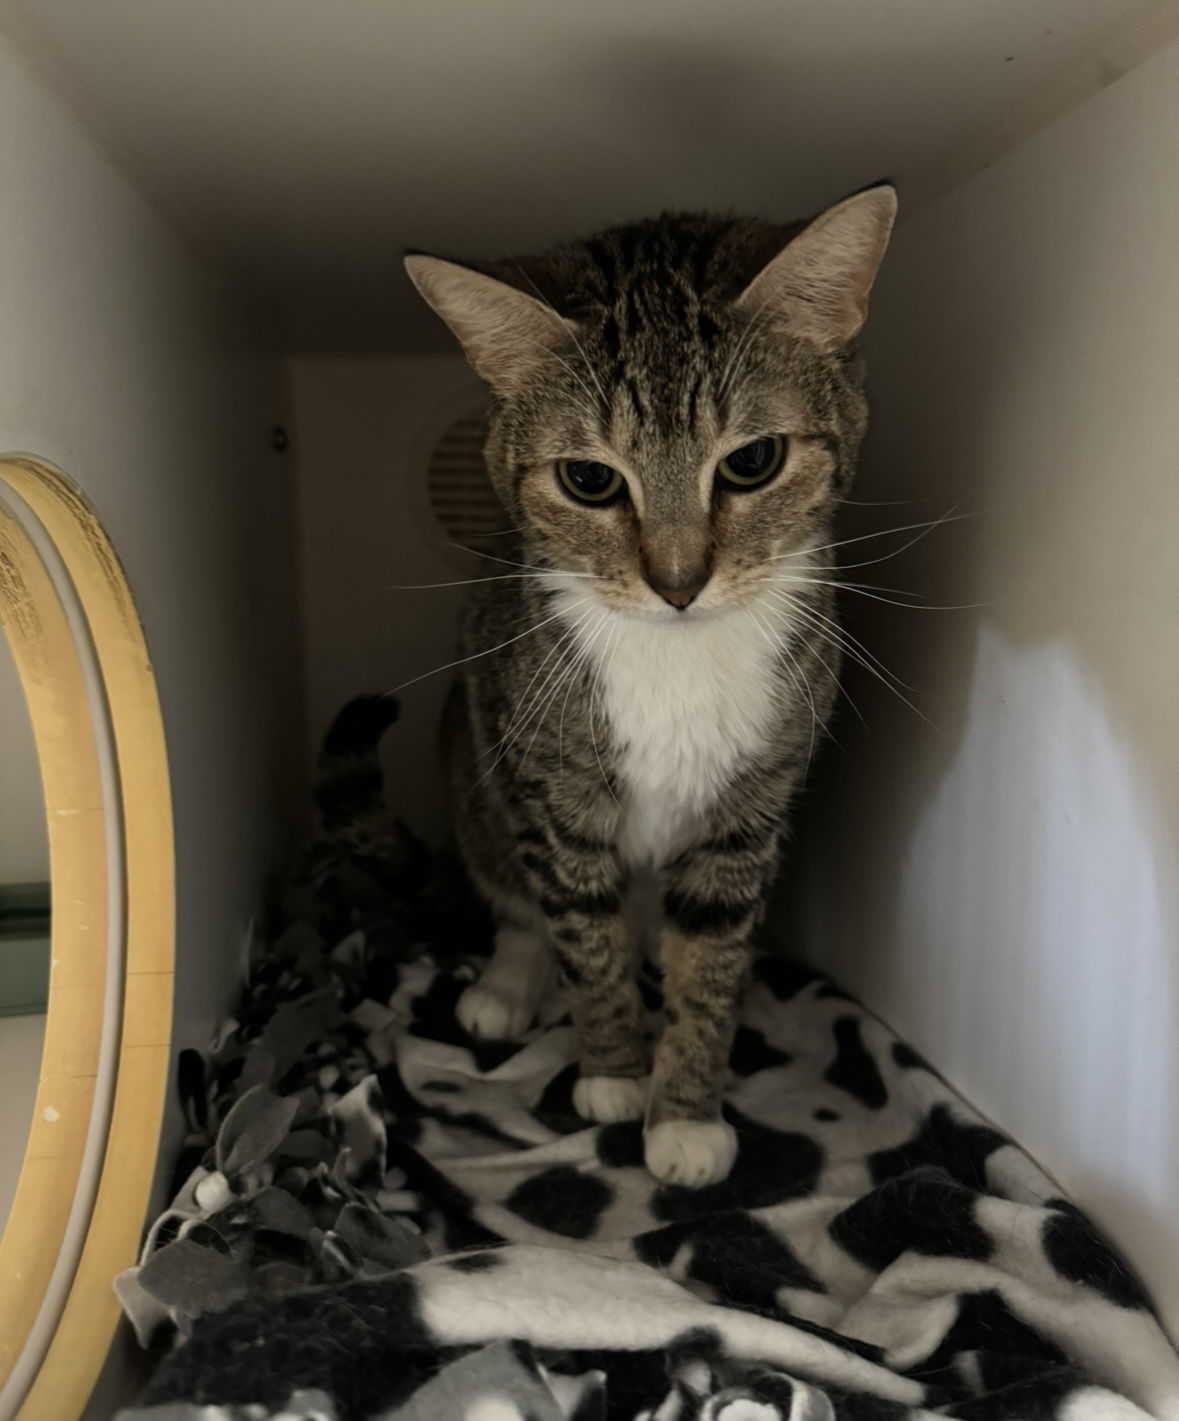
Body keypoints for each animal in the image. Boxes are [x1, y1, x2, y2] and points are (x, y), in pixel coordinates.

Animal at [403, 188, 897, 1187]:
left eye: (751, 461)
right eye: (589, 479)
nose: (677, 583)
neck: (677, 657)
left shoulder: (753, 801)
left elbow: (710, 955)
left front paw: (685, 1113)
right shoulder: (549, 785)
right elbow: (582, 934)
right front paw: (614, 1073)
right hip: (473, 769)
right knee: (516, 897)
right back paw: (507, 984)